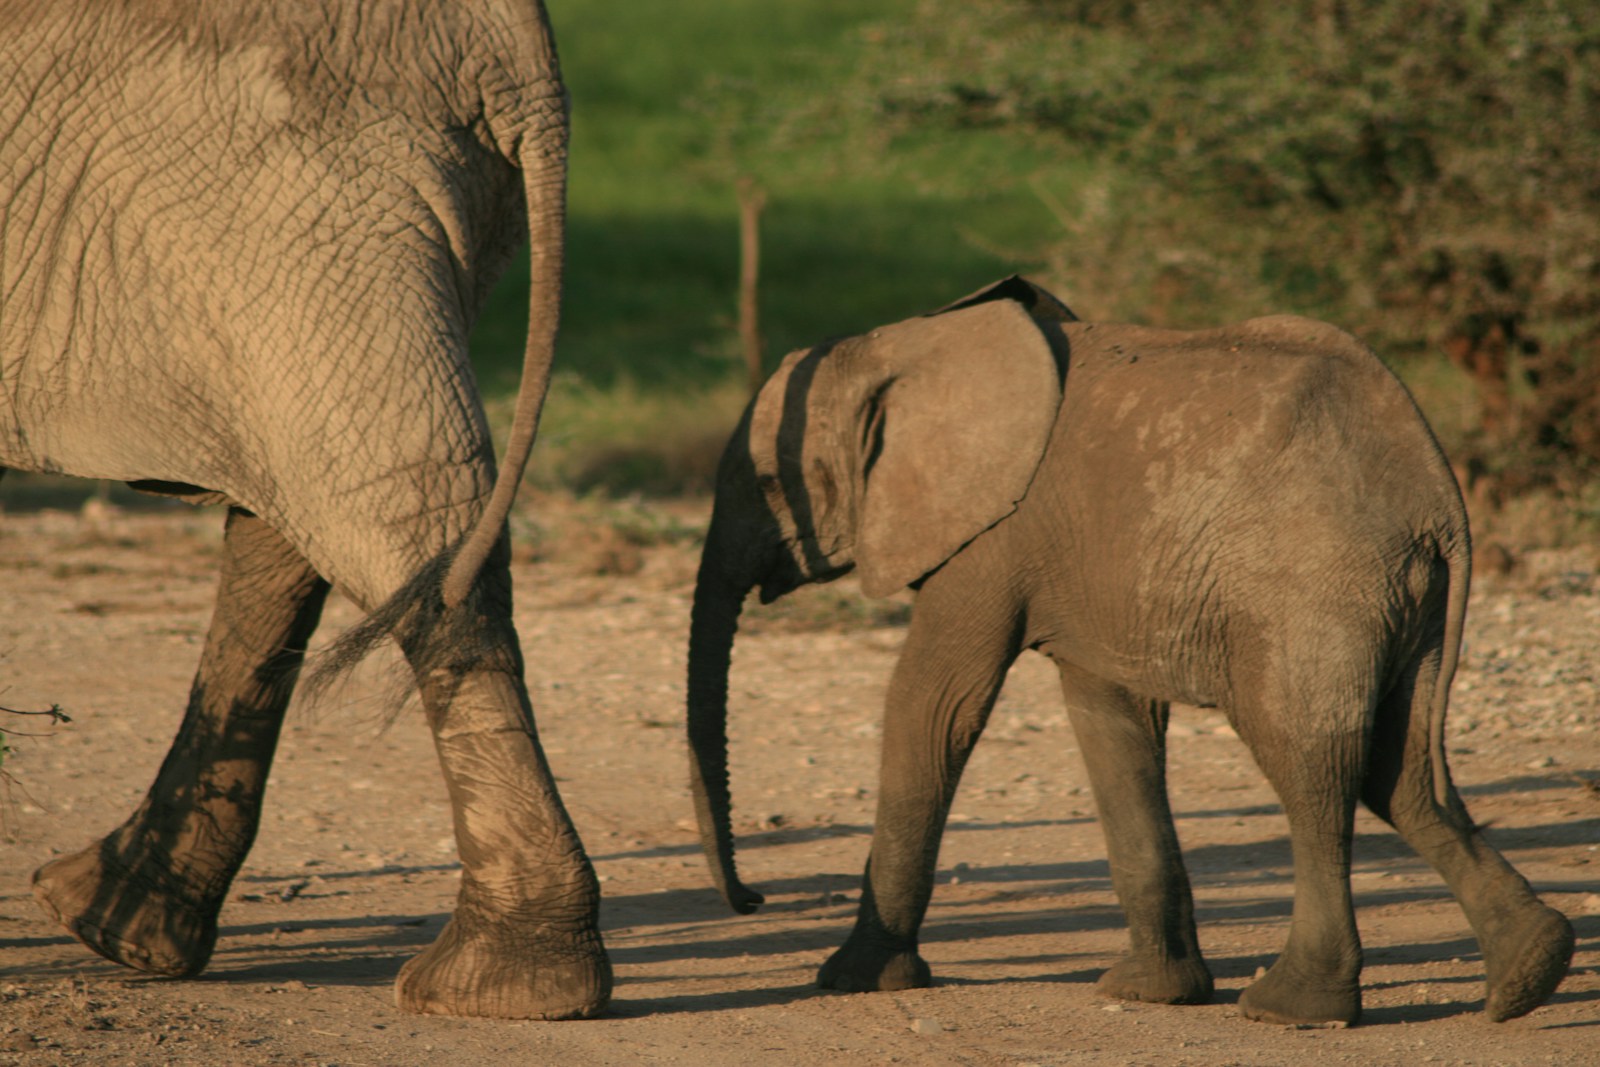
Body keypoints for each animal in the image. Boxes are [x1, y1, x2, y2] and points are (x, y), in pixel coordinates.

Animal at [0, 0, 609, 1020]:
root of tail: (520, 52)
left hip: (295, 196)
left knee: (381, 503)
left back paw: (503, 990)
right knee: (311, 516)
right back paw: (120, 927)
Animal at [685, 276, 1574, 1026]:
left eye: (771, 485)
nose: (753, 900)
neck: (910, 341)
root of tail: (1440, 497)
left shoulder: (989, 536)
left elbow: (935, 705)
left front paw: (852, 979)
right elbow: (1111, 722)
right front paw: (1153, 993)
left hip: (1317, 586)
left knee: (1315, 768)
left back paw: (1292, 1009)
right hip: (1405, 601)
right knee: (1404, 772)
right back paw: (1530, 975)